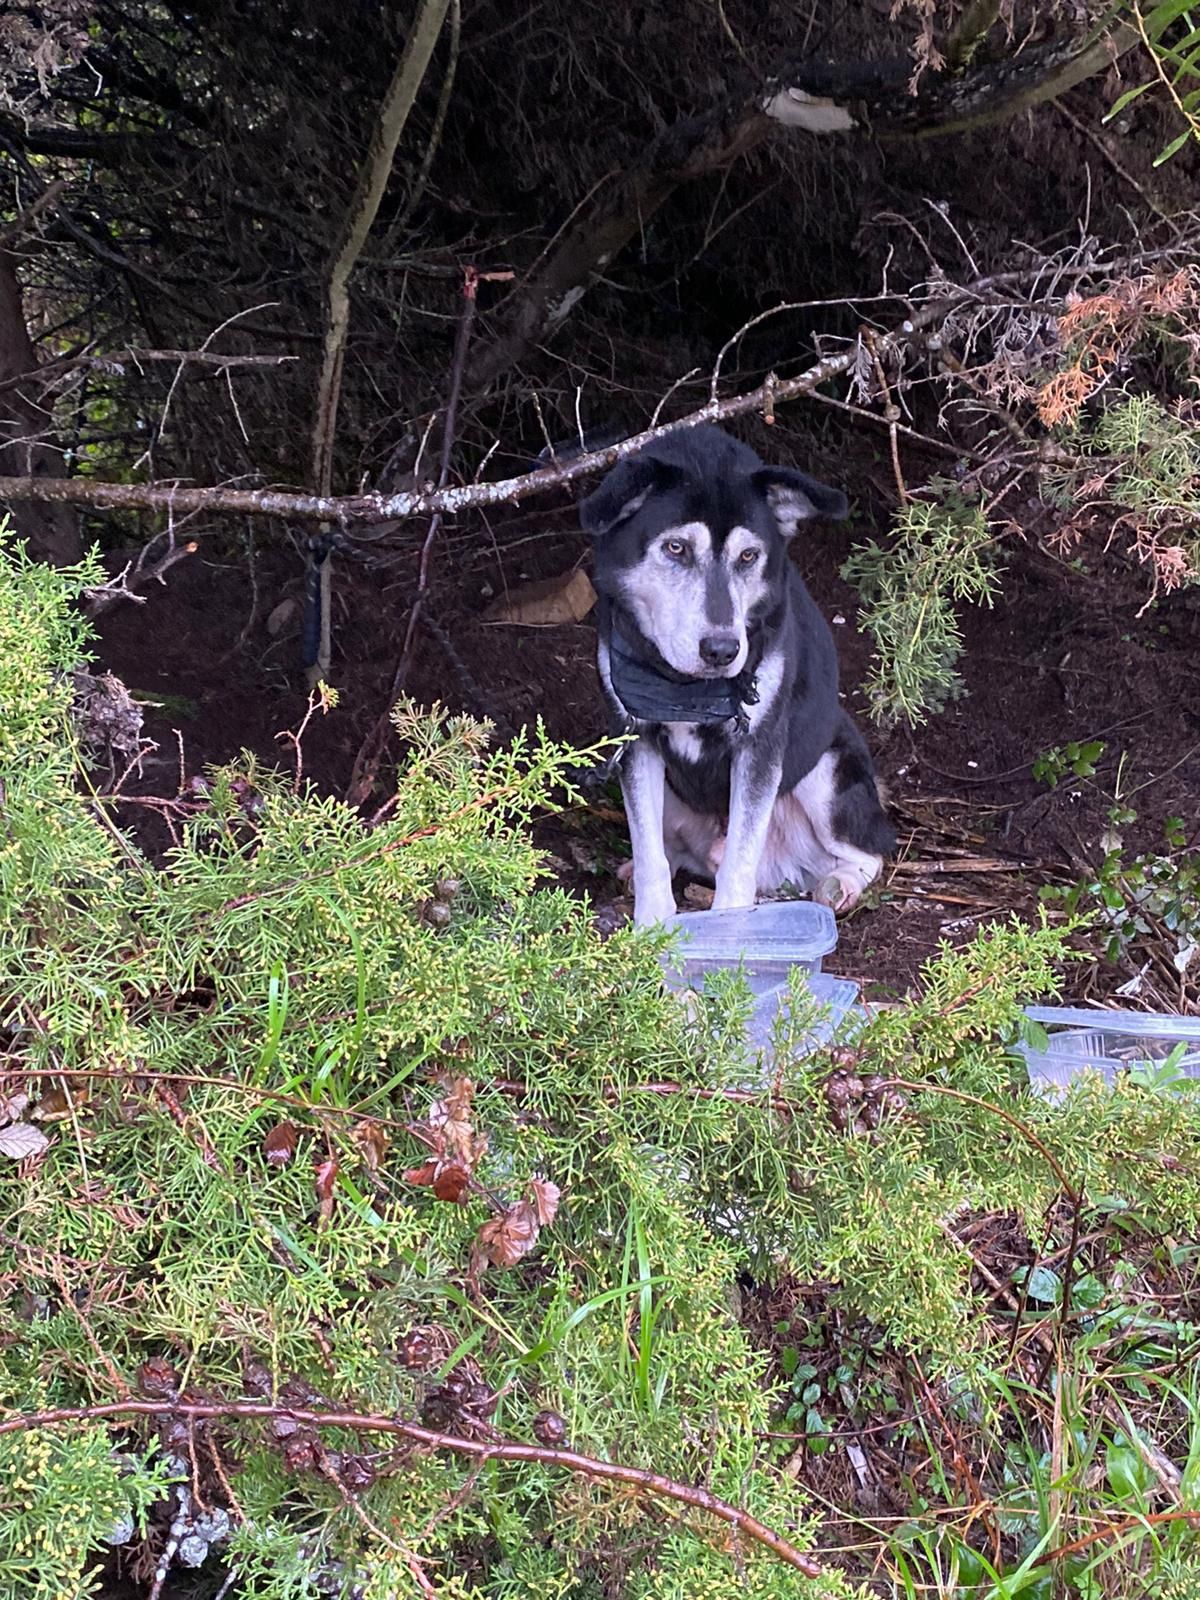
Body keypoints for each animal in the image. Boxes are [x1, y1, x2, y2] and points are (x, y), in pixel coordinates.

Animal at [579, 425, 896, 928]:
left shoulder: (760, 747)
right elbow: (650, 855)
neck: (686, 686)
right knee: (672, 852)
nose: (722, 649)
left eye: (749, 555)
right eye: (676, 548)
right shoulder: (635, 741)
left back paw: (840, 886)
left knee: (869, 852)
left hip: (827, 772)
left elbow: (738, 864)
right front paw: (650, 926)